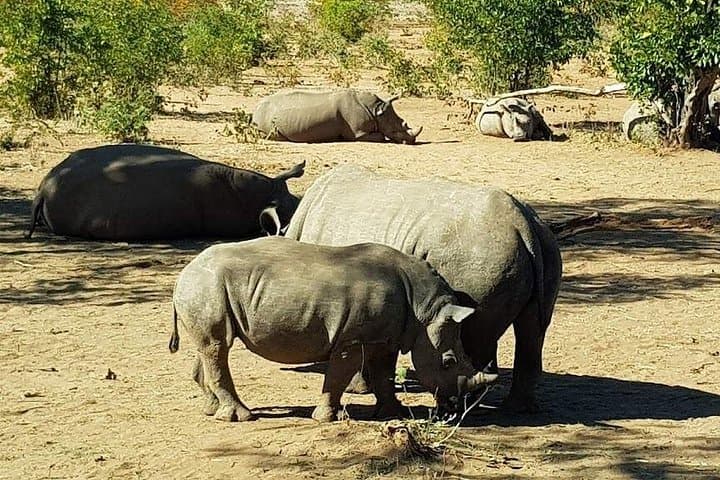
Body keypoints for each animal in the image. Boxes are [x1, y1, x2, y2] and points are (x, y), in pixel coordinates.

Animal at [169, 237, 497, 422]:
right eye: (449, 362)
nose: (455, 409)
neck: (424, 308)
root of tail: (183, 273)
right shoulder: (353, 338)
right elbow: (339, 375)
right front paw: (327, 418)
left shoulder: (384, 337)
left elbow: (384, 374)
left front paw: (396, 413)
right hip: (206, 286)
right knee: (217, 347)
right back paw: (241, 418)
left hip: (206, 289)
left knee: (210, 346)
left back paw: (211, 410)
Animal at [251, 89, 423, 144]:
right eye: (396, 130)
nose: (412, 141)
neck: (376, 110)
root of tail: (255, 111)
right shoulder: (358, 134)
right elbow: (380, 136)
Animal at [285, 165, 562, 413]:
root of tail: (522, 224)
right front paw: (362, 388)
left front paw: (358, 389)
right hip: (545, 247)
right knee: (532, 330)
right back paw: (517, 409)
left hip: (477, 259)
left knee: (473, 332)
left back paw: (459, 410)